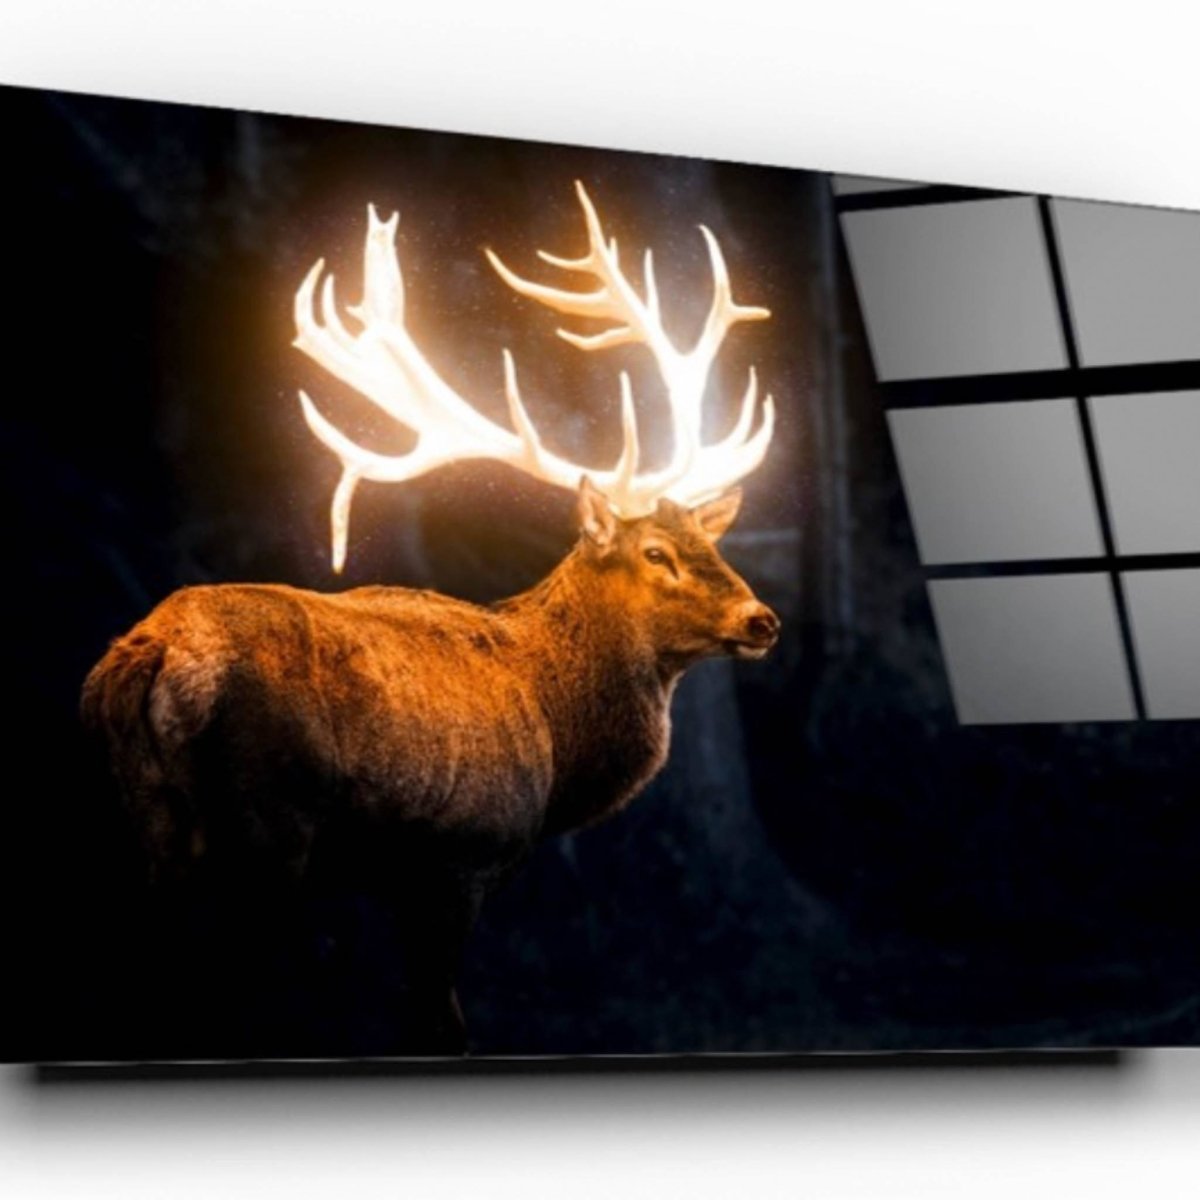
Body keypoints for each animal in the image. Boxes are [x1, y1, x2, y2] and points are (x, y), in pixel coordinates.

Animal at [81, 182, 782, 1055]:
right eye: (656, 553)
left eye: (706, 542)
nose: (762, 619)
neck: (558, 742)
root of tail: (152, 651)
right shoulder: (460, 855)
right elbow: (440, 1020)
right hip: (266, 829)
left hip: (141, 824)